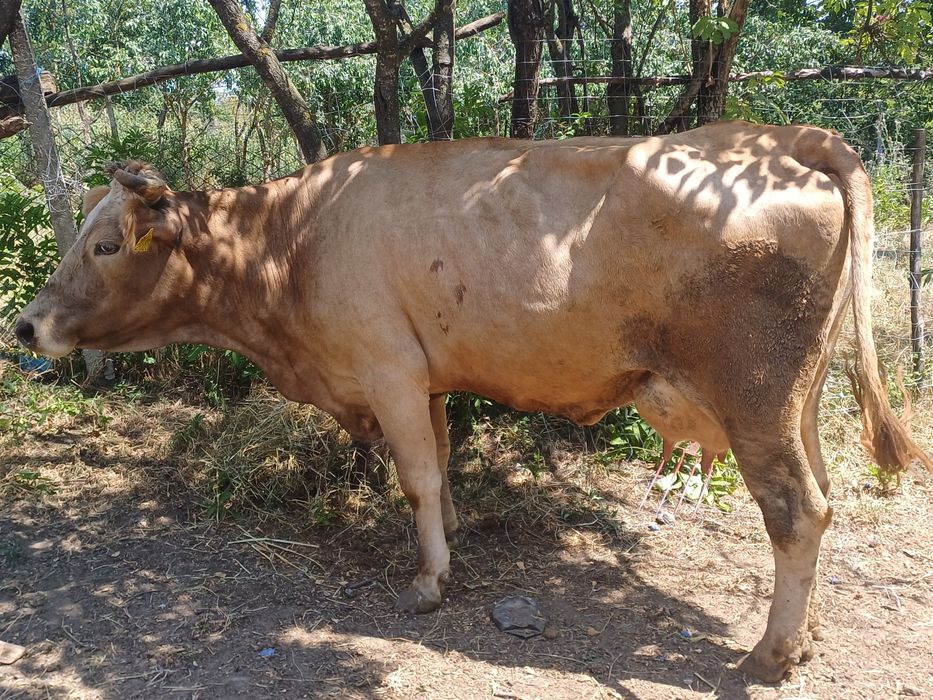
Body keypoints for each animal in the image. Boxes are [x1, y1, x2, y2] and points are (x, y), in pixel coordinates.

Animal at [15, 121, 933, 682]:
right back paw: (805, 638)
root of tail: (784, 137)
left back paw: (769, 655)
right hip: (796, 397)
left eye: (106, 245)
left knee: (795, 511)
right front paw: (451, 537)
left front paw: (427, 581)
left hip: (752, 396)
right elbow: (444, 460)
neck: (289, 242)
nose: (26, 325)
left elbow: (415, 476)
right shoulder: (425, 375)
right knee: (823, 496)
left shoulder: (385, 367)